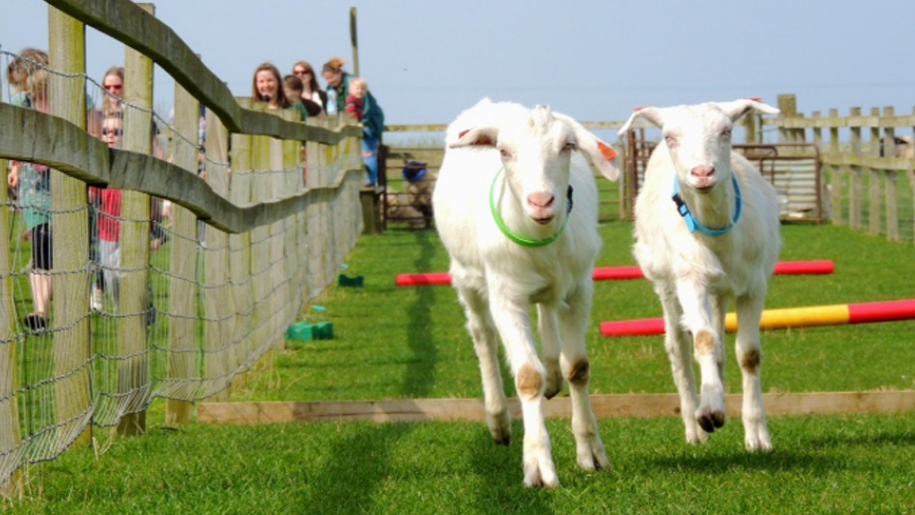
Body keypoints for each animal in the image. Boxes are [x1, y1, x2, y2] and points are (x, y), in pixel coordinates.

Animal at [432, 97, 620, 488]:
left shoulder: (580, 287)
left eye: (568, 146)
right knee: (483, 336)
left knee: (546, 309)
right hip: (467, 279)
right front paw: (538, 465)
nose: (541, 201)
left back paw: (551, 370)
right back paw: (498, 419)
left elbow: (578, 367)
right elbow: (527, 376)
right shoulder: (506, 295)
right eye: (504, 151)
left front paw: (591, 452)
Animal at [616, 100, 780, 452]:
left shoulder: (754, 284)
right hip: (667, 285)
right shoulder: (690, 277)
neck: (716, 230)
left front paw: (757, 434)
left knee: (718, 341)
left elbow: (749, 355)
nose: (702, 173)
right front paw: (709, 413)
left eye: (727, 130)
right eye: (669, 136)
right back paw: (695, 427)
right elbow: (702, 339)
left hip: (720, 290)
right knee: (678, 346)